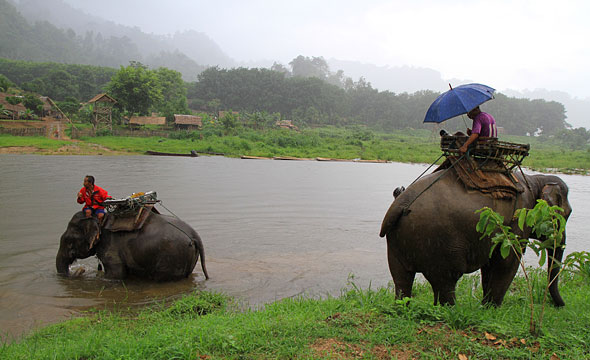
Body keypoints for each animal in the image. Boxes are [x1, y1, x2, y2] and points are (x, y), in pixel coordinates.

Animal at [55, 211, 208, 282]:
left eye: (69, 241)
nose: (81, 270)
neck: (101, 219)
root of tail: (194, 234)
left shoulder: (111, 247)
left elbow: (116, 274)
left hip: (171, 255)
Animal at [382, 170, 572, 306]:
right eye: (567, 214)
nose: (561, 305)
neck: (536, 179)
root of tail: (401, 203)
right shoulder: (518, 219)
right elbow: (507, 262)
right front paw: (491, 309)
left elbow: (490, 265)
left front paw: (485, 307)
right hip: (439, 241)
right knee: (446, 280)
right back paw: (450, 311)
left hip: (399, 240)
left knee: (402, 278)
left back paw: (403, 308)